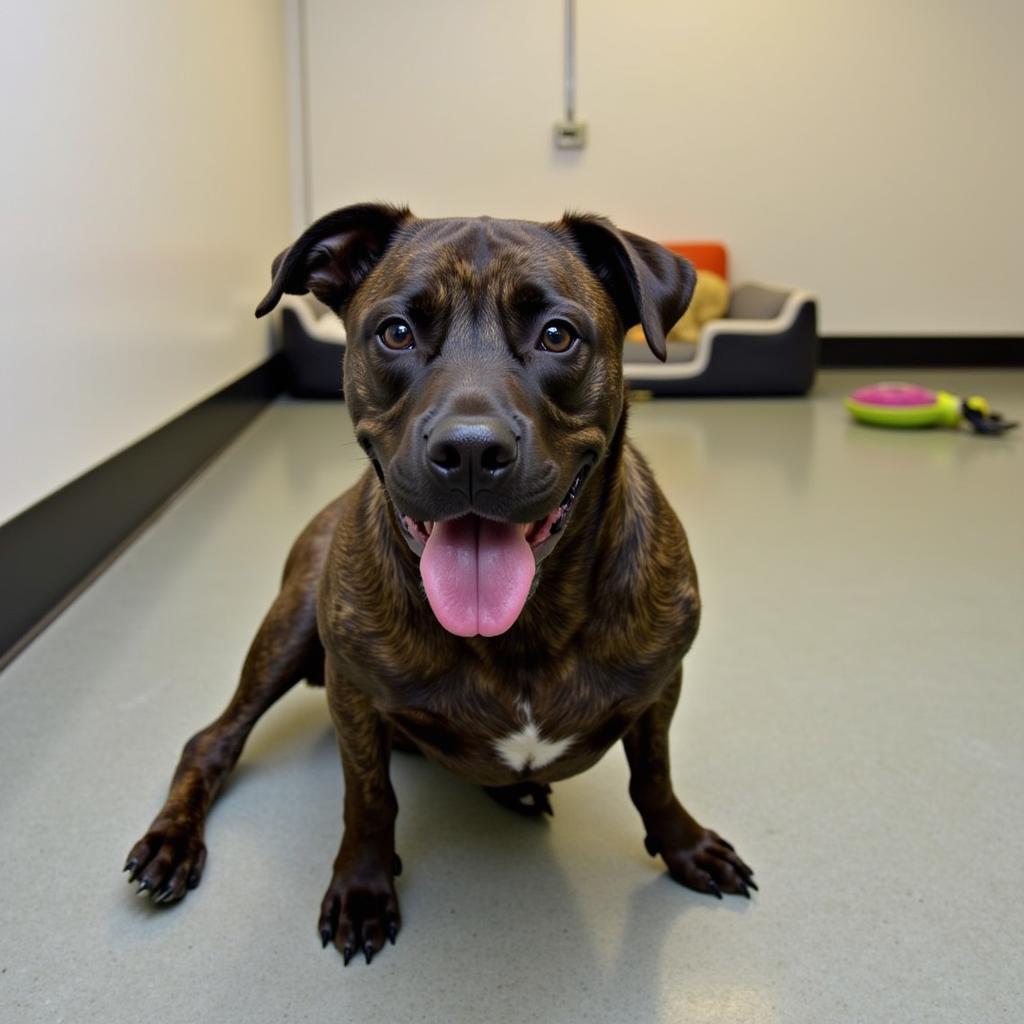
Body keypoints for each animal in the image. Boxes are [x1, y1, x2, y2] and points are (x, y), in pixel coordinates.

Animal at [123, 203, 757, 962]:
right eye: (396, 332)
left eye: (557, 334)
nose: (472, 450)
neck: (525, 626)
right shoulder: (352, 690)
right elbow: (369, 799)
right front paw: (363, 888)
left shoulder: (661, 685)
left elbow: (653, 776)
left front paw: (683, 845)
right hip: (291, 630)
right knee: (213, 740)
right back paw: (172, 842)